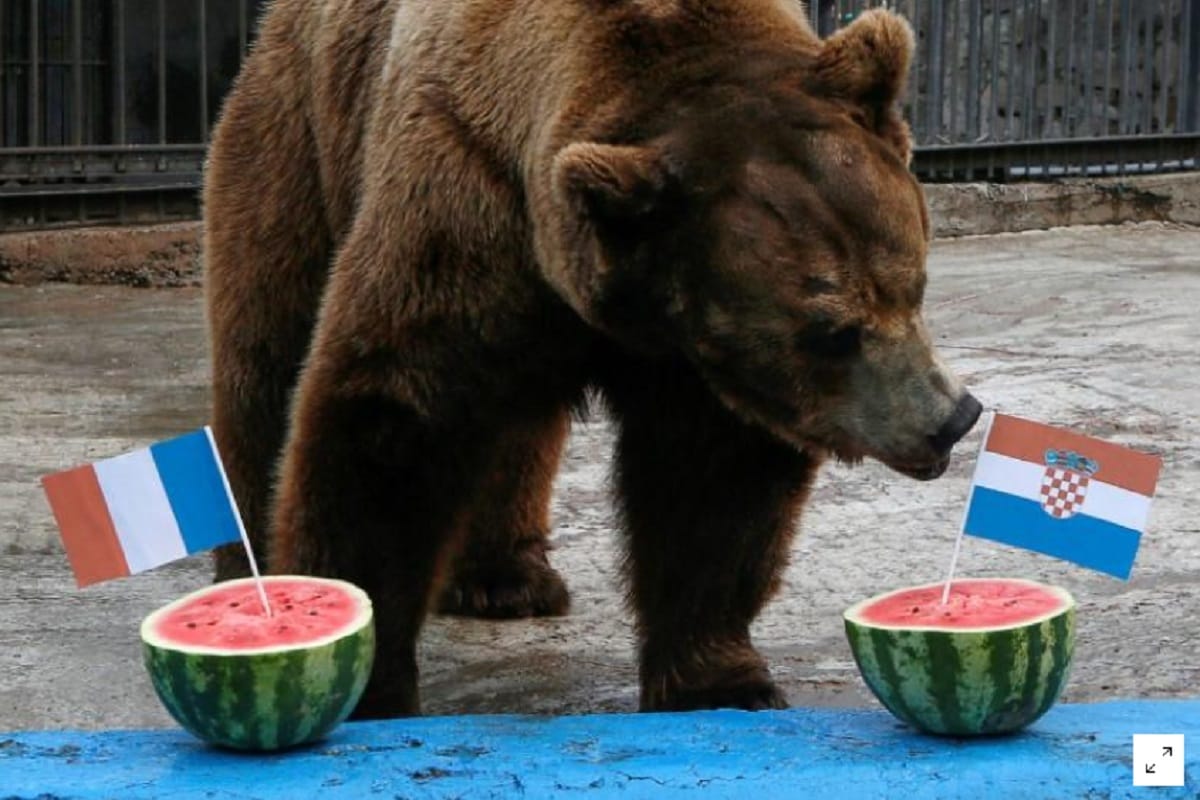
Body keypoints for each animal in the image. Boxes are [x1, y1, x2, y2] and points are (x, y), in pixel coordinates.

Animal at [204, 0, 982, 719]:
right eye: (832, 331)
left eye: (913, 282)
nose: (950, 418)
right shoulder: (464, 204)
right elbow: (394, 421)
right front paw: (364, 680)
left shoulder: (687, 354)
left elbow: (710, 485)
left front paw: (720, 681)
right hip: (296, 139)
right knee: (266, 362)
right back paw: (249, 572)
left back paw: (507, 578)